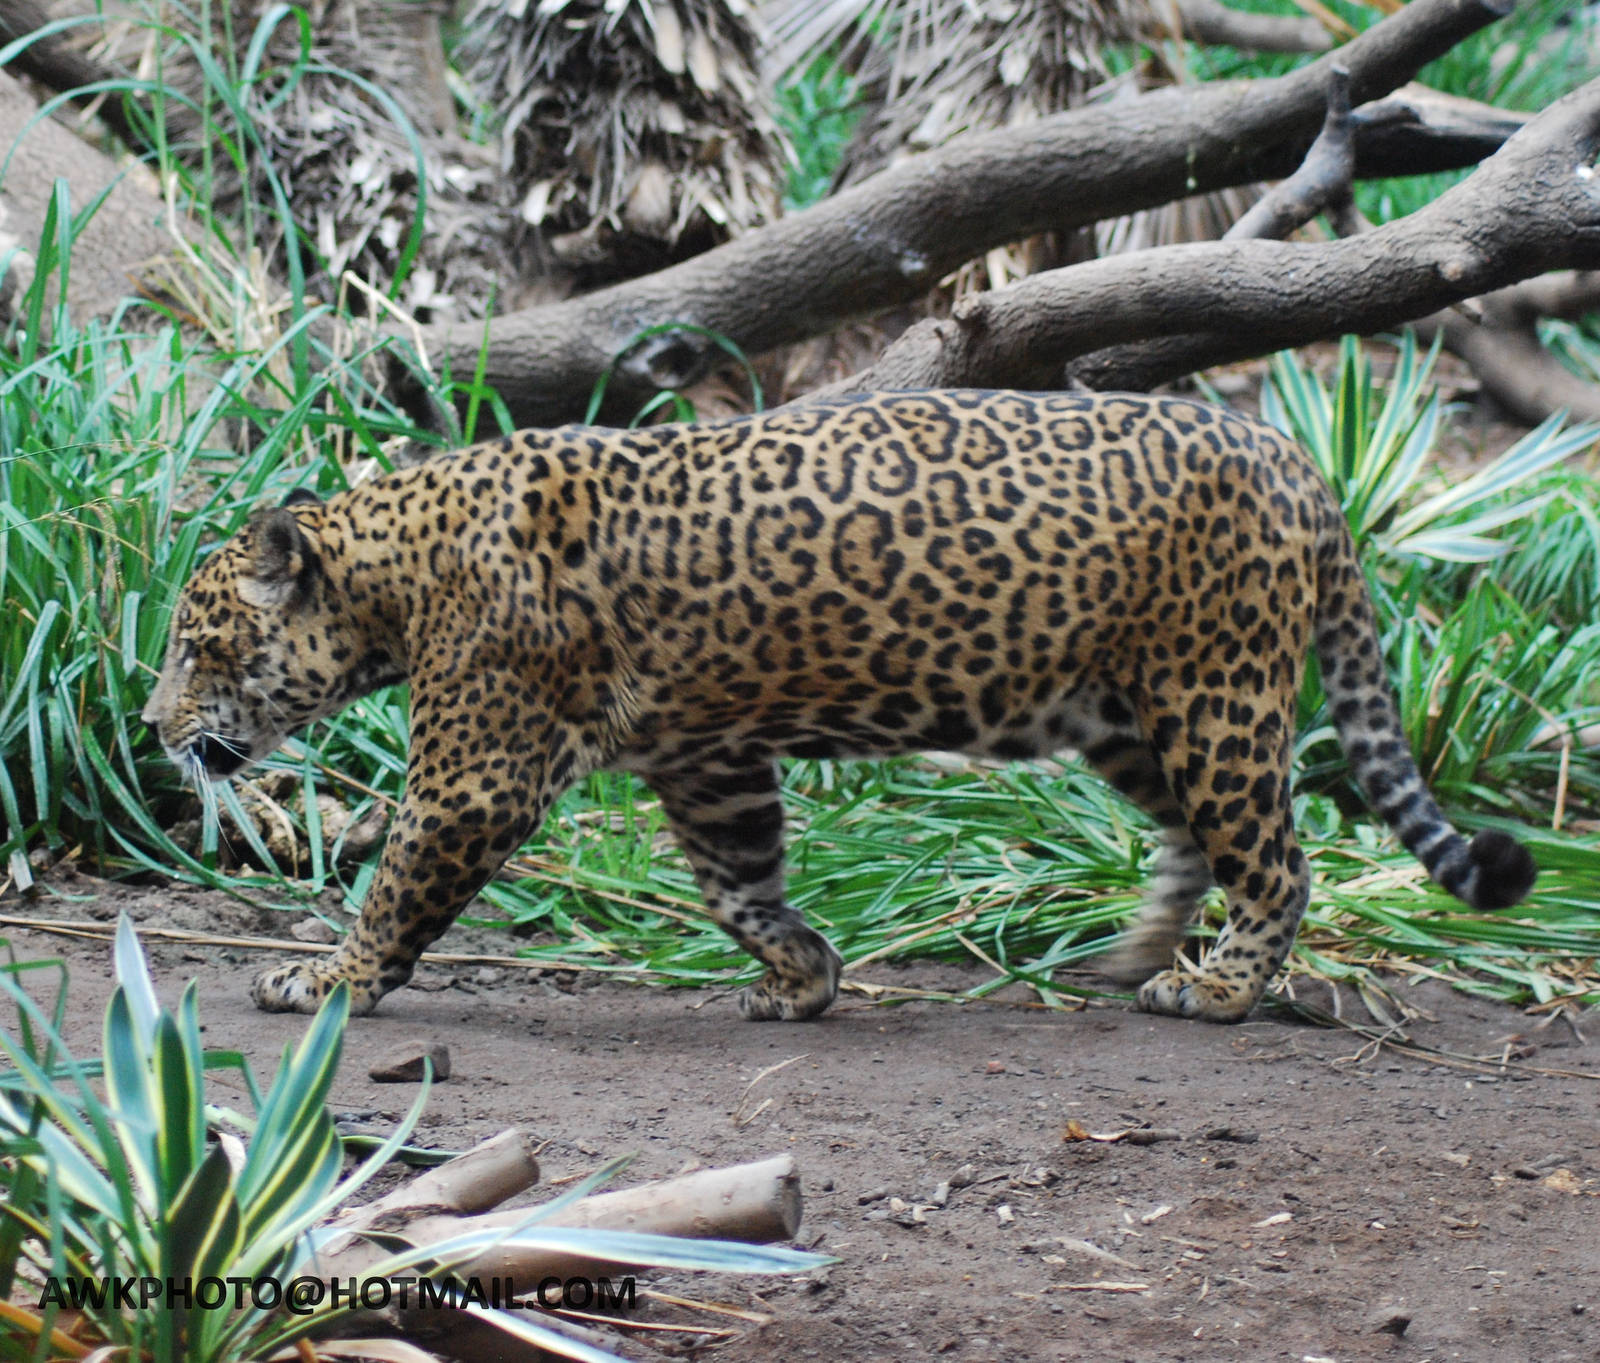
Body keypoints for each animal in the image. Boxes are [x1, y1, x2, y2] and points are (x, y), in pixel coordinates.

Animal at [142, 390, 1537, 1024]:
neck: (392, 573)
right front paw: (803, 977)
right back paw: (1138, 951)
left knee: (1280, 857)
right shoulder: (708, 760)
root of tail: (1298, 464)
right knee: (1197, 838)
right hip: (1127, 712)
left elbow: (396, 892)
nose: (152, 732)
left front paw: (327, 978)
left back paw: (1220, 989)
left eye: (199, 645)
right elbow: (737, 880)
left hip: (1215, 695)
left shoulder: (475, 775)